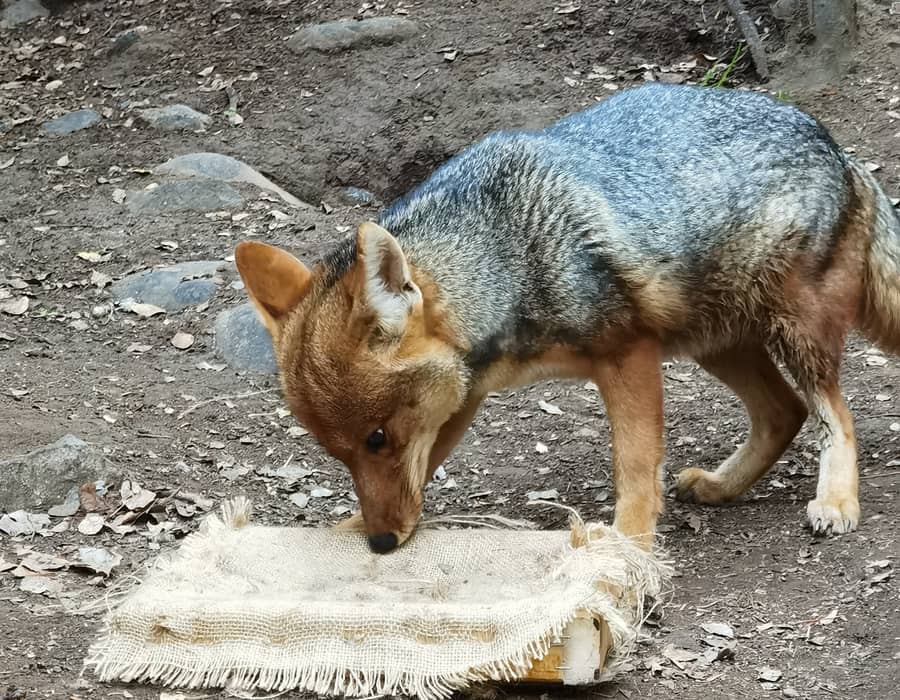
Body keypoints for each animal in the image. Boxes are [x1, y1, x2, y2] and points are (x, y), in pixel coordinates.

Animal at [234, 82, 900, 554]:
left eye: (376, 438)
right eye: (337, 453)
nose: (380, 544)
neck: (505, 253)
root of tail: (840, 149)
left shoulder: (628, 356)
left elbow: (635, 467)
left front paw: (627, 545)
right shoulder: (463, 396)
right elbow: (426, 466)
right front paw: (351, 526)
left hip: (792, 336)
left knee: (833, 415)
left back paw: (837, 500)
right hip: (713, 344)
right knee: (784, 413)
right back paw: (721, 486)